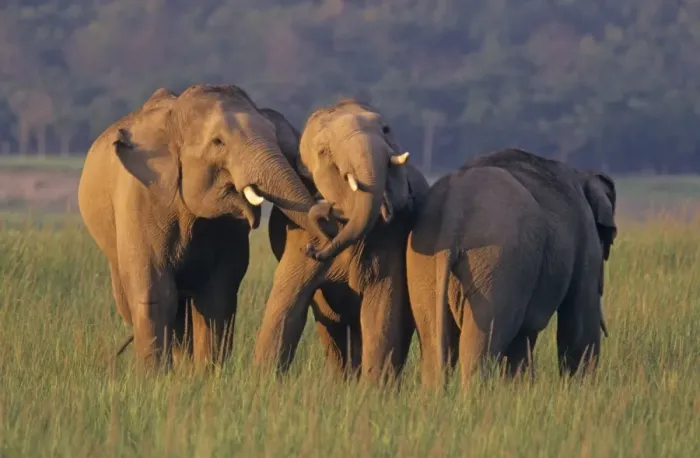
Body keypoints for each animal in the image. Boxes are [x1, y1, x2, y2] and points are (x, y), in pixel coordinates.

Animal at [78, 84, 335, 371]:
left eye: (275, 137)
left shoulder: (228, 229)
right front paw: (153, 377)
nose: (325, 206)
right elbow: (155, 293)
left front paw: (207, 375)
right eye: (218, 142)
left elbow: (217, 296)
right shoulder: (140, 201)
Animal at [252, 100, 430, 382]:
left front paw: (374, 389)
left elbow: (382, 306)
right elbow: (286, 298)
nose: (314, 250)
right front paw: (263, 382)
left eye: (386, 129)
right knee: (332, 328)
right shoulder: (299, 232)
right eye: (324, 152)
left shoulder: (392, 234)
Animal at [406, 148, 617, 388]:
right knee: (483, 344)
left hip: (424, 262)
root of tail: (453, 212)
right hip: (498, 266)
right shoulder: (586, 242)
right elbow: (580, 322)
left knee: (433, 345)